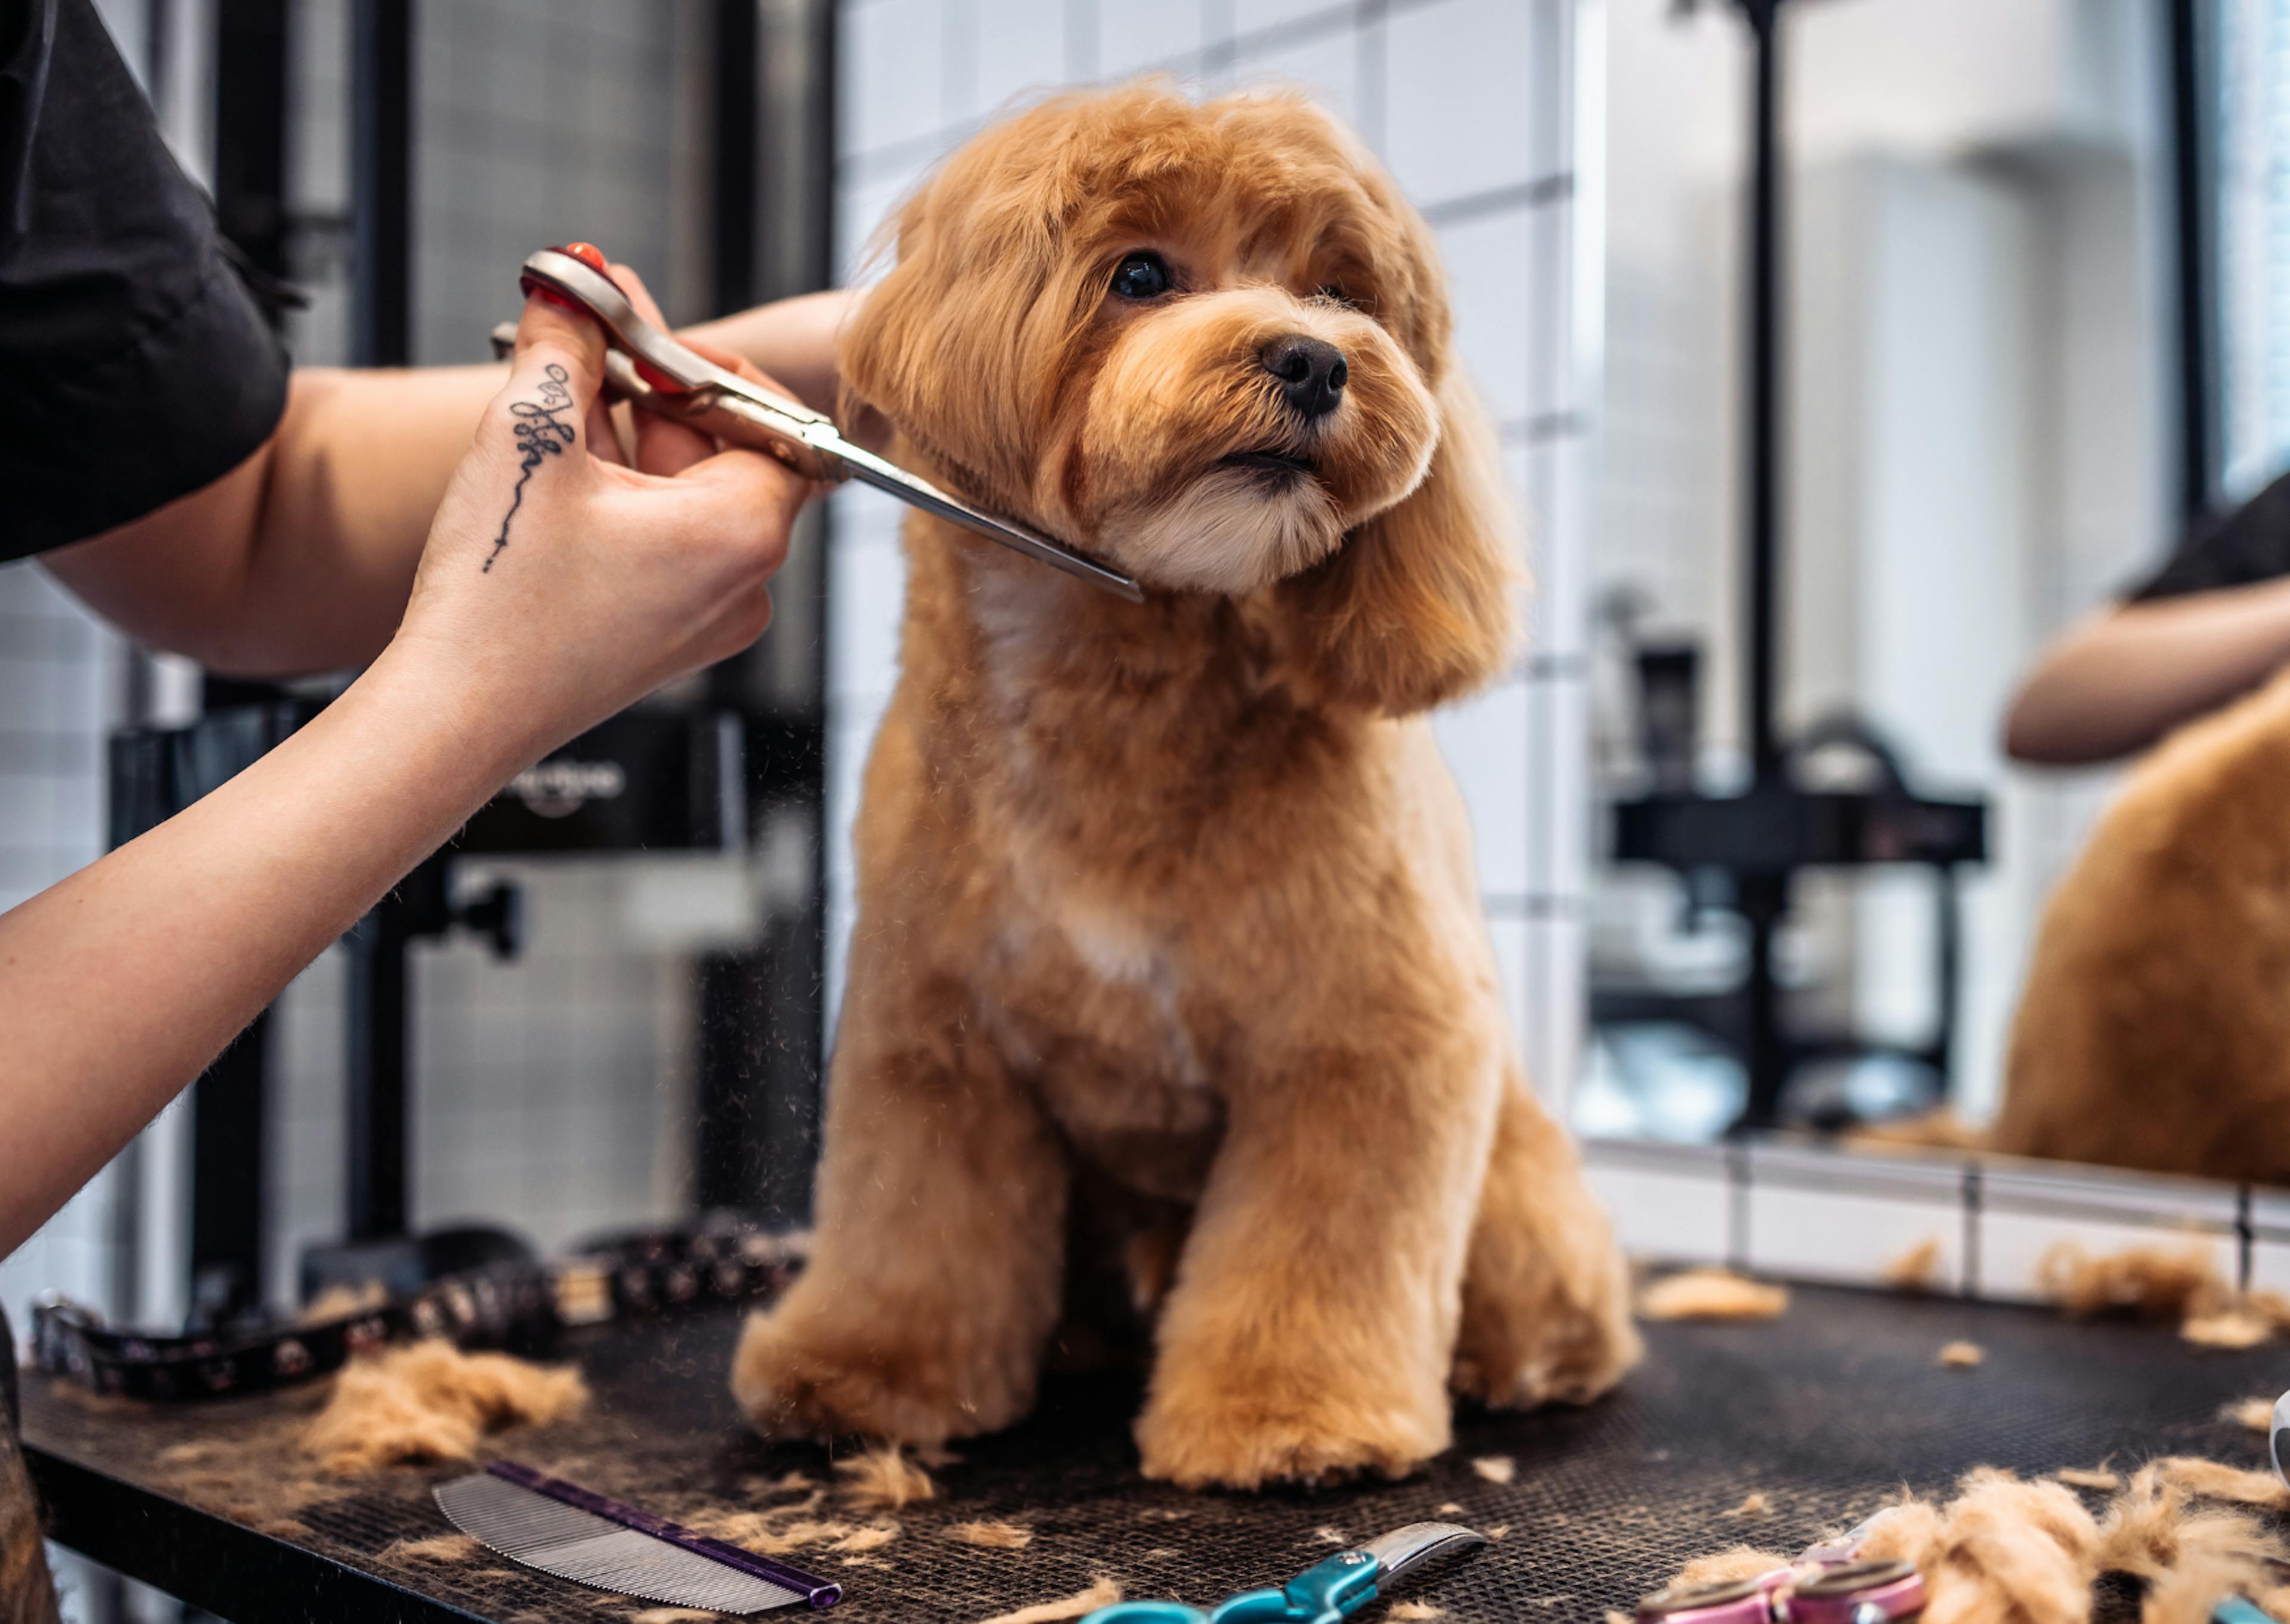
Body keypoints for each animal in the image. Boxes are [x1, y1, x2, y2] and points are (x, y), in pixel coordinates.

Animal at [723, 85, 1639, 1484]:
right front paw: (868, 1371)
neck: (1120, 696)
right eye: (1141, 275)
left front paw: (1289, 1415)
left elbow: (1318, 1246)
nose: (1316, 361)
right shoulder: (934, 1038)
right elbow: (912, 1225)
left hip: (1518, 1194)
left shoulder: (1367, 1038)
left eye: (1340, 290)